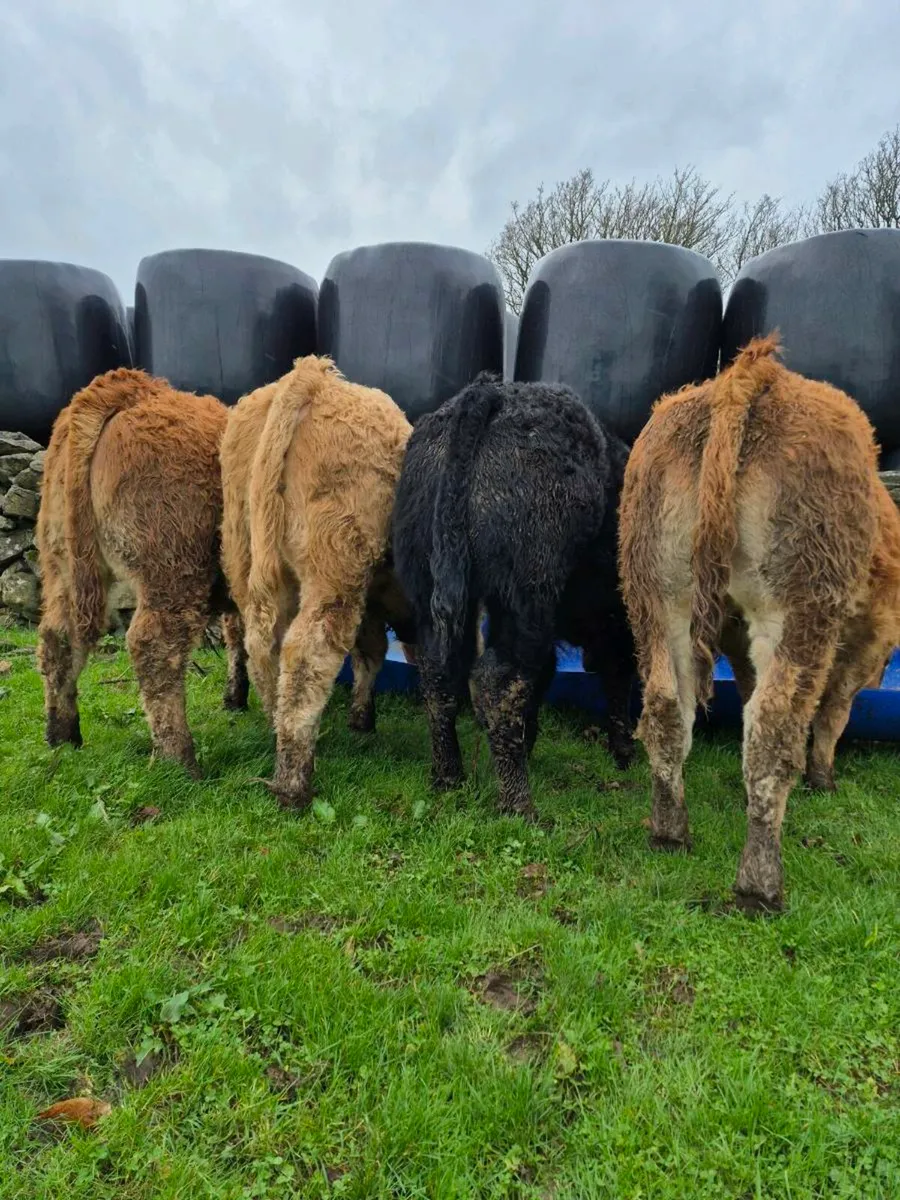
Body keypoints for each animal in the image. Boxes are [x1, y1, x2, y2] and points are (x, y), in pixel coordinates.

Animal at [35, 368, 249, 776]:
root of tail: (132, 387)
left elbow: (238, 637)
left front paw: (236, 697)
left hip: (62, 564)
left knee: (59, 639)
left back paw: (62, 736)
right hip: (173, 570)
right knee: (154, 647)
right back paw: (180, 762)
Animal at [219, 354, 416, 810]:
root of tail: (311, 375)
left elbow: (370, 650)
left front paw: (362, 716)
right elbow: (370, 650)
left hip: (244, 551)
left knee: (257, 640)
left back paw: (272, 722)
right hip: (334, 568)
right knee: (307, 651)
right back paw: (294, 782)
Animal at [391, 371, 638, 820]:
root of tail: (490, 393)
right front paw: (623, 748)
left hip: (437, 592)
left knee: (440, 674)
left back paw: (449, 777)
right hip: (524, 598)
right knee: (497, 681)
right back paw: (520, 805)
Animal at [617, 333, 900, 914]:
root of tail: (744, 379)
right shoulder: (869, 634)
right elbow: (834, 709)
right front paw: (824, 777)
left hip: (658, 597)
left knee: (666, 710)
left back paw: (669, 834)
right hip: (798, 609)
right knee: (773, 729)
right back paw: (760, 884)